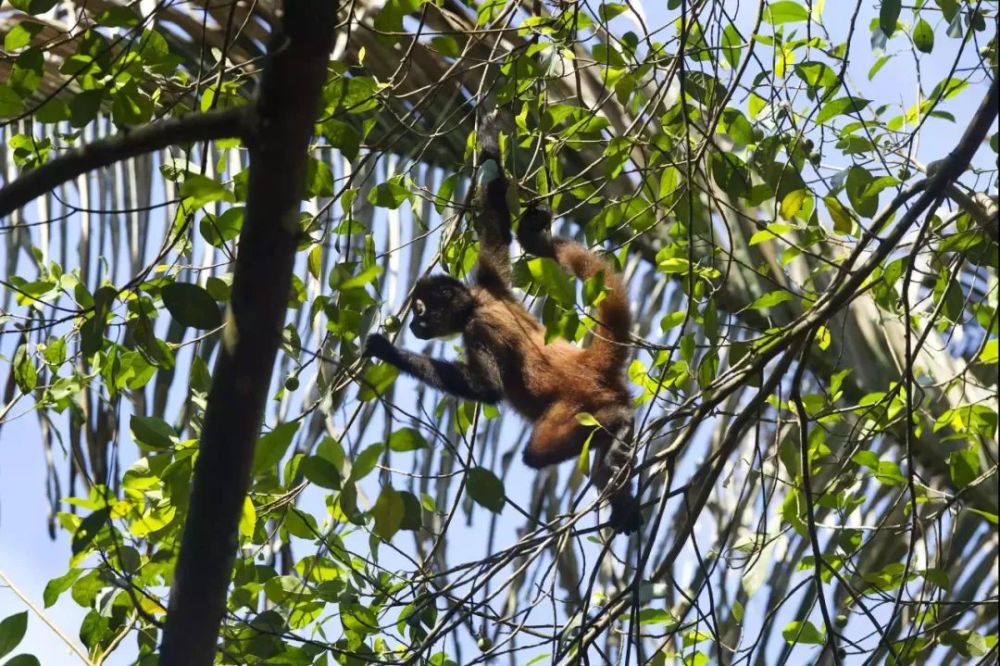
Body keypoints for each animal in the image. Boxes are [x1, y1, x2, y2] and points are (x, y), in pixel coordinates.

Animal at [366, 115, 640, 536]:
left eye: (421, 310)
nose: (412, 324)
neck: (477, 303)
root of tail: (590, 364)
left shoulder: (479, 327)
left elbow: (488, 389)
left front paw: (385, 349)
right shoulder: (489, 278)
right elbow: (495, 217)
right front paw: (490, 143)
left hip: (576, 405)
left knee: (538, 452)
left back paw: (619, 427)